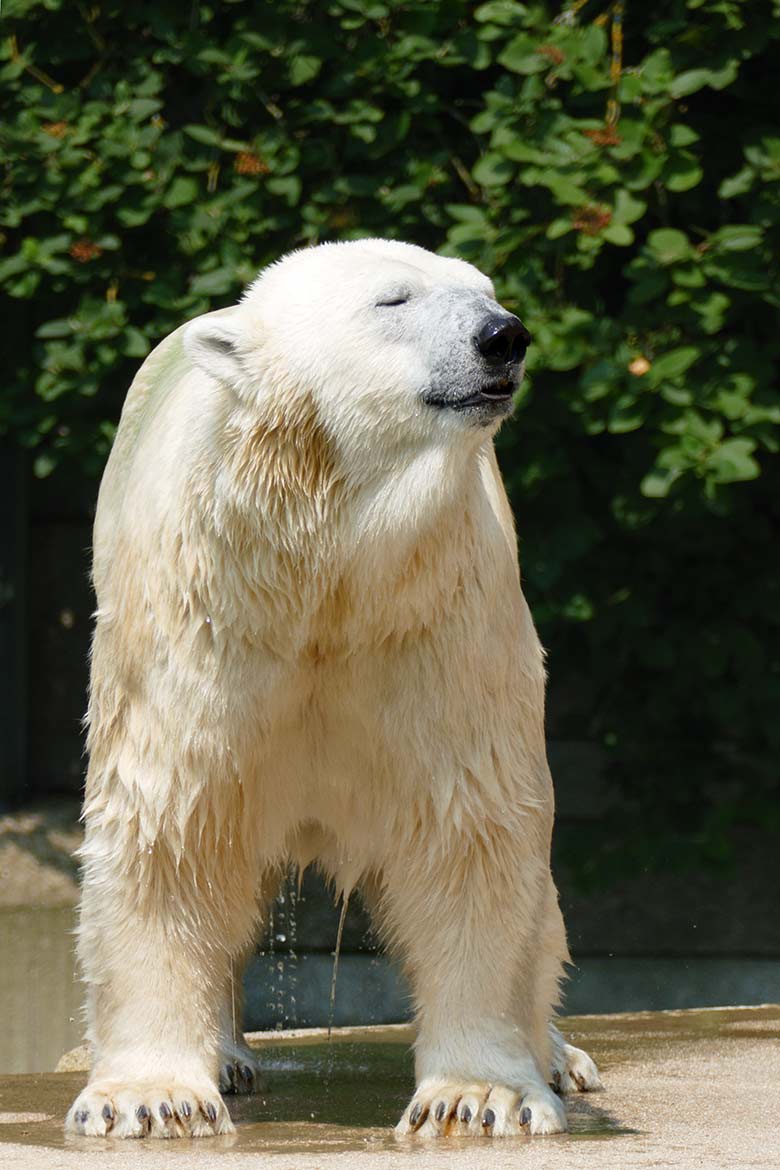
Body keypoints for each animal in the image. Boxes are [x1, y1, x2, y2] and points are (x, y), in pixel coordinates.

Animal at [68, 239, 603, 1141]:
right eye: (394, 300)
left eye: (485, 289)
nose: (503, 337)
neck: (325, 568)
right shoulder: (208, 620)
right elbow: (172, 827)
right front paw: (151, 1097)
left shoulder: (437, 617)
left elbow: (473, 829)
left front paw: (475, 1096)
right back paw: (230, 1055)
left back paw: (563, 1055)